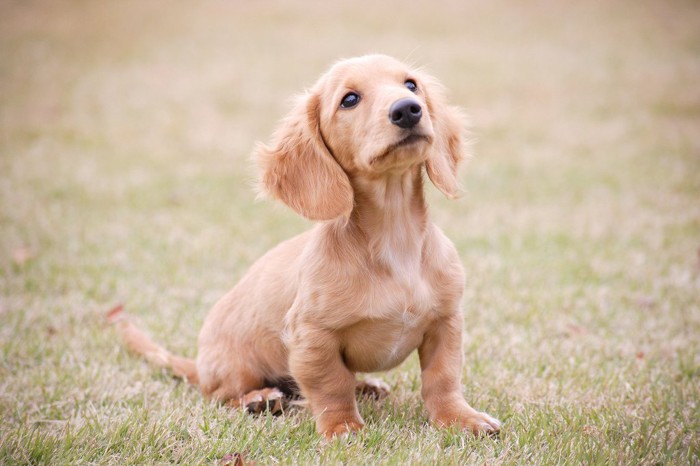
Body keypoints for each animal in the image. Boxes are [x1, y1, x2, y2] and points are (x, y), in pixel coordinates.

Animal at [110, 53, 498, 436]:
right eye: (349, 100)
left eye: (411, 85)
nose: (408, 109)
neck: (394, 237)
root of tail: (199, 364)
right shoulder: (312, 337)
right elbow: (331, 385)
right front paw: (342, 427)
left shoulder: (446, 322)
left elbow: (442, 378)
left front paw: (460, 418)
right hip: (235, 370)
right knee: (222, 396)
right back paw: (260, 398)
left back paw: (366, 387)